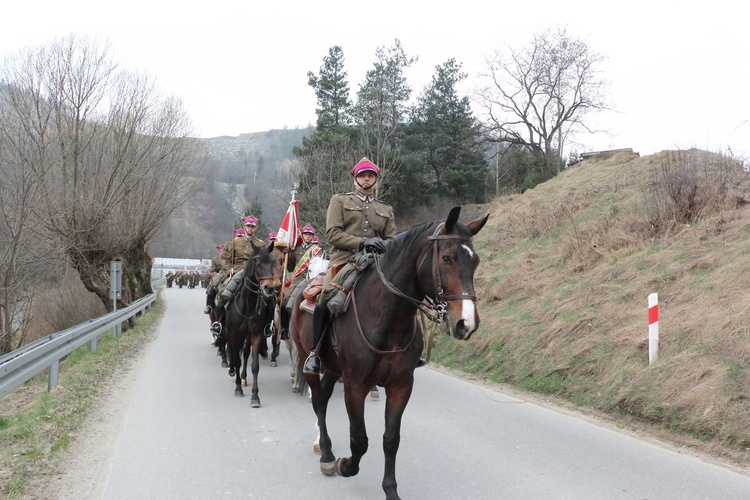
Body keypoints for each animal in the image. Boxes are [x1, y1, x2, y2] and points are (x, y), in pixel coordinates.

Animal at [225, 242, 284, 406]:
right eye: (258, 263)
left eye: (272, 263)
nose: (270, 288)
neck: (248, 305)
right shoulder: (235, 335)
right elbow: (237, 360)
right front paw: (238, 388)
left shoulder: (256, 334)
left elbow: (255, 365)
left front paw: (255, 396)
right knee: (233, 352)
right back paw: (233, 371)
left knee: (245, 353)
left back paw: (244, 378)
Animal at [290, 205, 490, 498]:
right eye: (447, 258)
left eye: (474, 262)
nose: (467, 323)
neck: (387, 319)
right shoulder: (355, 385)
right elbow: (359, 440)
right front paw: (346, 465)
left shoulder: (401, 385)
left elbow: (391, 439)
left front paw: (391, 489)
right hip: (309, 360)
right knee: (317, 401)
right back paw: (326, 455)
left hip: (333, 368)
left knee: (324, 399)